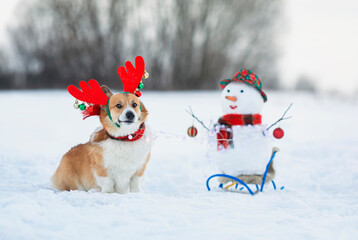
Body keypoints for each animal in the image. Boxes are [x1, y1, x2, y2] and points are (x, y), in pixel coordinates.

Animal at [51, 55, 150, 193]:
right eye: (118, 105)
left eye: (134, 104)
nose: (131, 114)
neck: (125, 138)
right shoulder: (103, 170)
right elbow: (108, 184)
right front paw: (108, 194)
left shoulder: (139, 170)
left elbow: (135, 185)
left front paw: (136, 195)